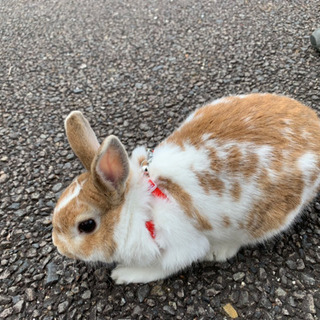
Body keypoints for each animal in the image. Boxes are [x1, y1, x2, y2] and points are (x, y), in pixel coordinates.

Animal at [51, 94, 320, 284]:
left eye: (87, 225)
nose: (59, 247)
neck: (141, 211)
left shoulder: (182, 247)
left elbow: (160, 268)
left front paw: (123, 275)